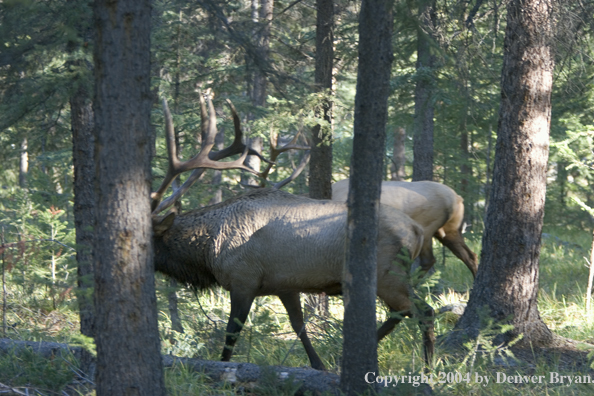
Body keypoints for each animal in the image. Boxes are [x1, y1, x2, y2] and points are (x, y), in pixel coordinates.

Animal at [150, 93, 432, 372]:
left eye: (150, 238)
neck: (208, 252)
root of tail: (417, 230)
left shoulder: (243, 280)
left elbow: (231, 335)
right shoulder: (285, 286)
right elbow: (299, 326)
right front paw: (319, 365)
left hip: (388, 275)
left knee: (421, 311)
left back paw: (425, 367)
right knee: (405, 312)